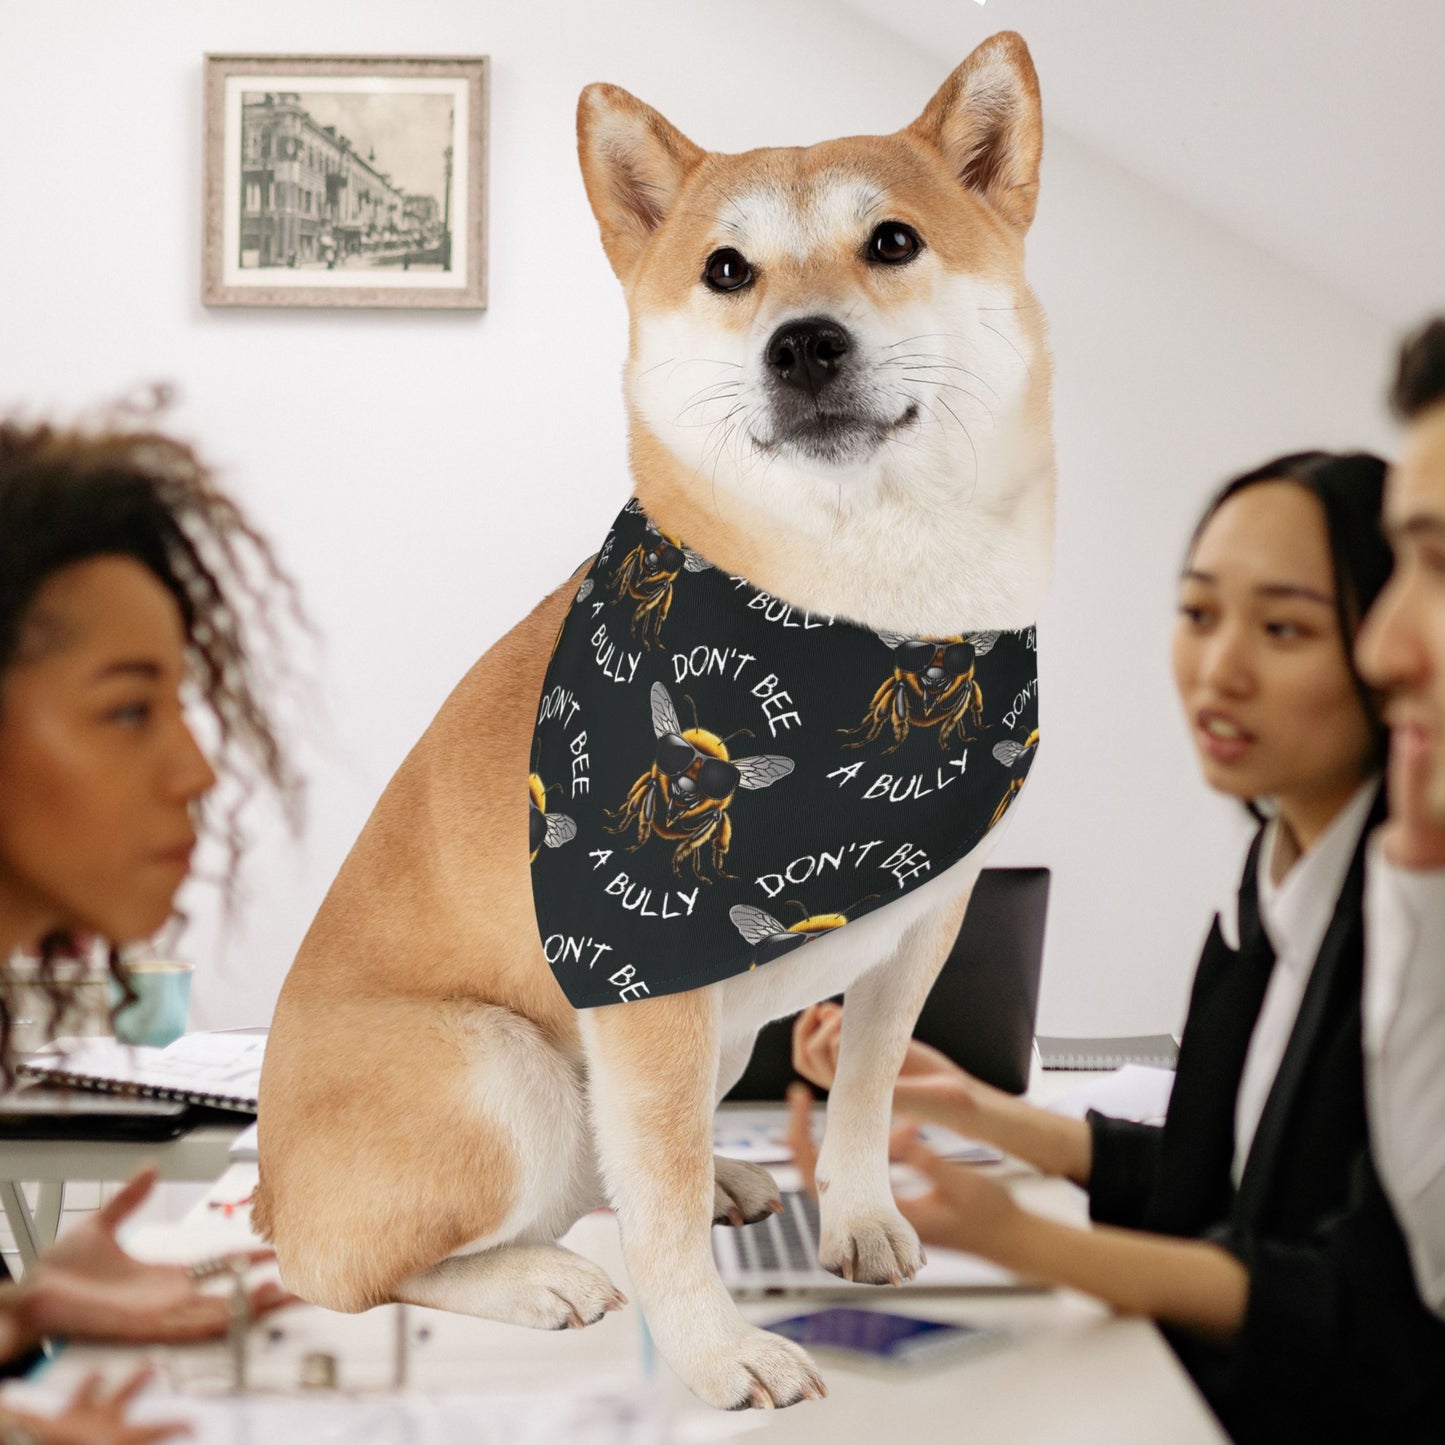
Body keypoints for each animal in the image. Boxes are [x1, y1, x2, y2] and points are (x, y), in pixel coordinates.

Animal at [257, 31, 1051, 1410]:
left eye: (892, 241)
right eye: (726, 269)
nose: (801, 344)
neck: (858, 613)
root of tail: (257, 1180)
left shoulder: (920, 928)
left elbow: (863, 1094)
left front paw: (855, 1216)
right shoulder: (645, 992)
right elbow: (662, 1202)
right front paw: (714, 1351)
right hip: (505, 1067)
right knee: (355, 1267)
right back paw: (532, 1275)